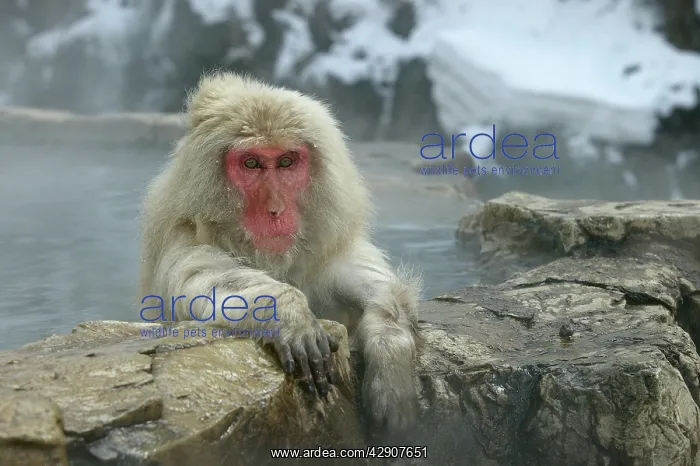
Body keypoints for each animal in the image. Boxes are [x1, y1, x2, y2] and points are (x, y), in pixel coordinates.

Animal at [138, 72, 422, 433]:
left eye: (286, 161)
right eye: (251, 163)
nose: (275, 210)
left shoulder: (325, 253)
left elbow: (381, 290)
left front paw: (390, 351)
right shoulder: (184, 245)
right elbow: (208, 282)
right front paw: (290, 313)